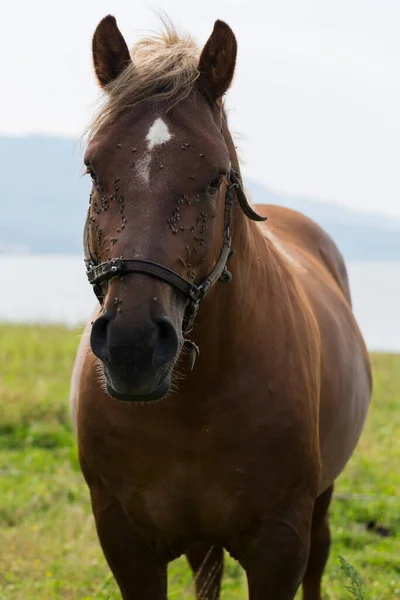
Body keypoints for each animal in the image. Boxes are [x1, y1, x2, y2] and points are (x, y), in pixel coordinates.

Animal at [69, 15, 372, 600]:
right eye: (93, 169)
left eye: (215, 175)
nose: (133, 347)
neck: (193, 403)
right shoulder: (125, 541)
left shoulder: (280, 545)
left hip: (321, 503)